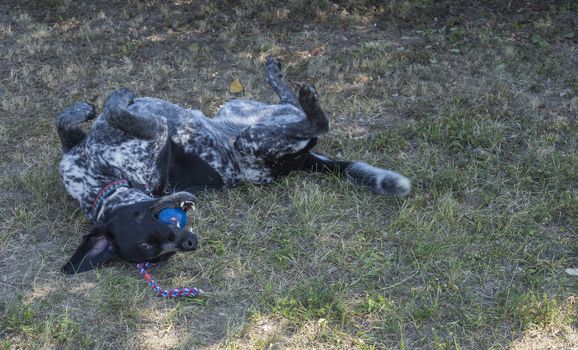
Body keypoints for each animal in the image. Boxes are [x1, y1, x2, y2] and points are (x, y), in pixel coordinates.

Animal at [55, 56, 410, 274]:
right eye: (151, 248)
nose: (189, 243)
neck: (100, 180)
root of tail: (302, 163)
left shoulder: (80, 148)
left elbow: (70, 119)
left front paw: (90, 106)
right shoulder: (155, 131)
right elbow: (115, 109)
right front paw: (117, 98)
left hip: (240, 107)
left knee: (289, 104)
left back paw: (277, 74)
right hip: (252, 140)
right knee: (316, 125)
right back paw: (307, 98)